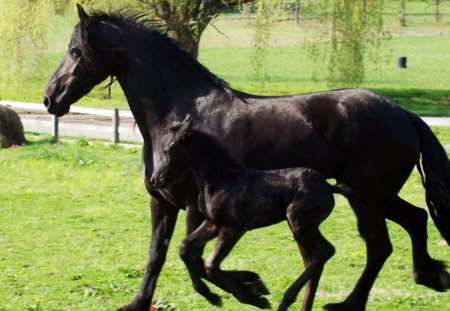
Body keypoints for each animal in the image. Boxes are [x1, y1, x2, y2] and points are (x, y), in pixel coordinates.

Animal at [151, 117, 370, 311]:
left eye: (168, 149)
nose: (155, 180)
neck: (223, 180)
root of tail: (329, 187)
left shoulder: (233, 228)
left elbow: (211, 265)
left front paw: (255, 295)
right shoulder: (212, 224)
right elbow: (185, 248)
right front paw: (222, 293)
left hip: (299, 222)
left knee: (324, 251)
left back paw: (286, 300)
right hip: (301, 225)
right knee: (319, 254)